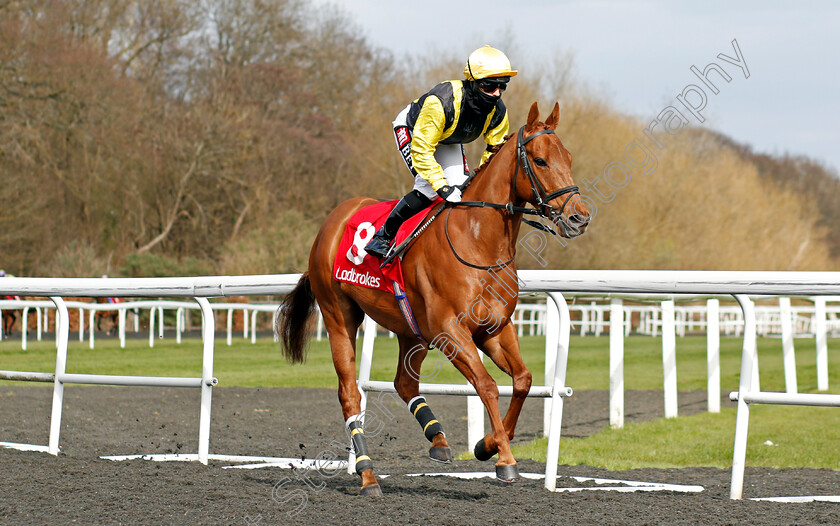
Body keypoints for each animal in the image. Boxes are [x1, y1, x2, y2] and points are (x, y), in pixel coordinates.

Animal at [276, 104, 592, 500]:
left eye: (569, 157)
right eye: (540, 160)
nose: (579, 217)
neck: (478, 241)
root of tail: (333, 220)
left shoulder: (494, 328)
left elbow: (523, 380)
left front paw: (486, 445)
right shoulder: (450, 331)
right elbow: (487, 385)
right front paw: (505, 460)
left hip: (410, 329)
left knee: (404, 383)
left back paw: (437, 438)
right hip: (339, 317)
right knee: (350, 394)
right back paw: (368, 476)